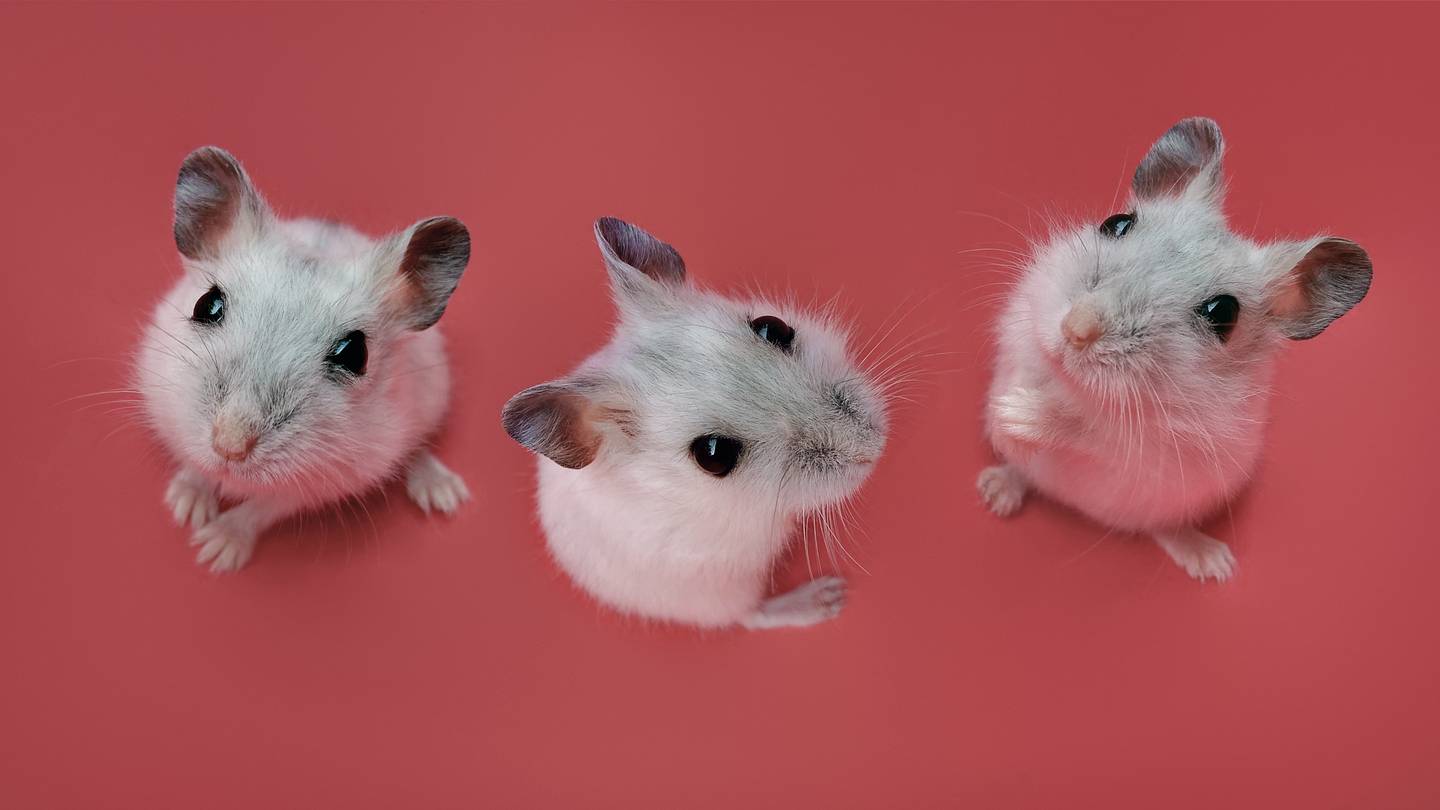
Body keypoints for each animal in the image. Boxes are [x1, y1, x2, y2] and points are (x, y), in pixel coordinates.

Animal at [137, 147, 473, 573]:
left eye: (355, 354)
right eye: (206, 304)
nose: (229, 448)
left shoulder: (318, 486)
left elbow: (259, 509)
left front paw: (214, 550)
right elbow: (193, 466)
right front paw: (184, 507)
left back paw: (445, 495)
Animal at [501, 218, 889, 629]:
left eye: (772, 327)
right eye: (713, 455)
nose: (877, 444)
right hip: (720, 593)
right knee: (750, 616)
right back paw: (828, 597)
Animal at [977, 117, 1372, 581]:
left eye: (1223, 313)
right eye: (1116, 223)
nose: (1075, 330)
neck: (1075, 384)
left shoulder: (1161, 451)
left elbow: (1090, 431)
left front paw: (1020, 415)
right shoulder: (1020, 325)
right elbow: (1026, 365)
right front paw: (1006, 415)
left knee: (1164, 530)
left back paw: (1213, 563)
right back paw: (995, 491)